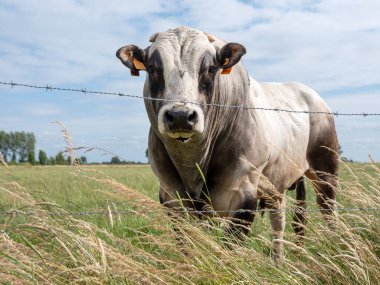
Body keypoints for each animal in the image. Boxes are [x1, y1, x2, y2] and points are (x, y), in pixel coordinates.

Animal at [116, 26, 338, 262]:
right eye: (152, 69)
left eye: (211, 68)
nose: (180, 116)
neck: (193, 163)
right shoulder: (171, 197)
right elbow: (186, 246)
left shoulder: (244, 197)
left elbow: (229, 248)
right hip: (276, 184)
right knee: (279, 220)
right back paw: (278, 259)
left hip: (326, 171)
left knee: (328, 212)